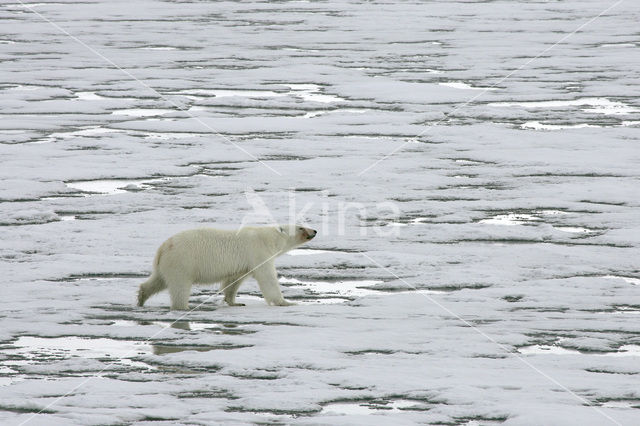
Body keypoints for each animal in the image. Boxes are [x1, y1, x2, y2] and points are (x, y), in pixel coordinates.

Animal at [136, 225, 316, 312]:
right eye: (300, 227)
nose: (314, 231)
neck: (270, 237)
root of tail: (163, 247)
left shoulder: (244, 263)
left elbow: (233, 280)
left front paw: (235, 302)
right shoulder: (258, 251)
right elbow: (267, 277)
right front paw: (286, 302)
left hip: (167, 264)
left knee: (157, 281)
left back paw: (141, 298)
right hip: (183, 261)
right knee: (179, 286)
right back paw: (183, 306)